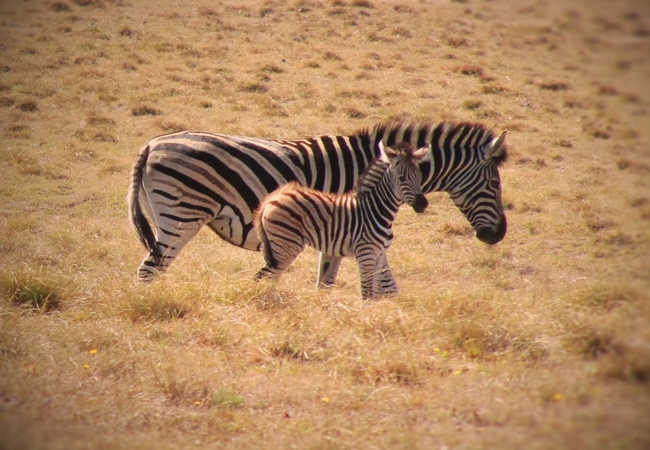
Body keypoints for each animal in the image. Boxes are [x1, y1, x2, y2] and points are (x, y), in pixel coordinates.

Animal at [128, 119, 506, 284]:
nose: (498, 235)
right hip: (181, 217)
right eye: (493, 183)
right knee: (149, 270)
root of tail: (152, 144)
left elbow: (325, 280)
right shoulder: (348, 224)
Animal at [254, 142, 430, 300]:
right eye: (402, 178)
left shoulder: (379, 254)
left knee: (269, 277)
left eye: (420, 177)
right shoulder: (366, 253)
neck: (376, 209)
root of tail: (271, 200)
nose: (423, 204)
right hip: (287, 245)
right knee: (264, 276)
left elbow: (378, 292)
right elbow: (367, 294)